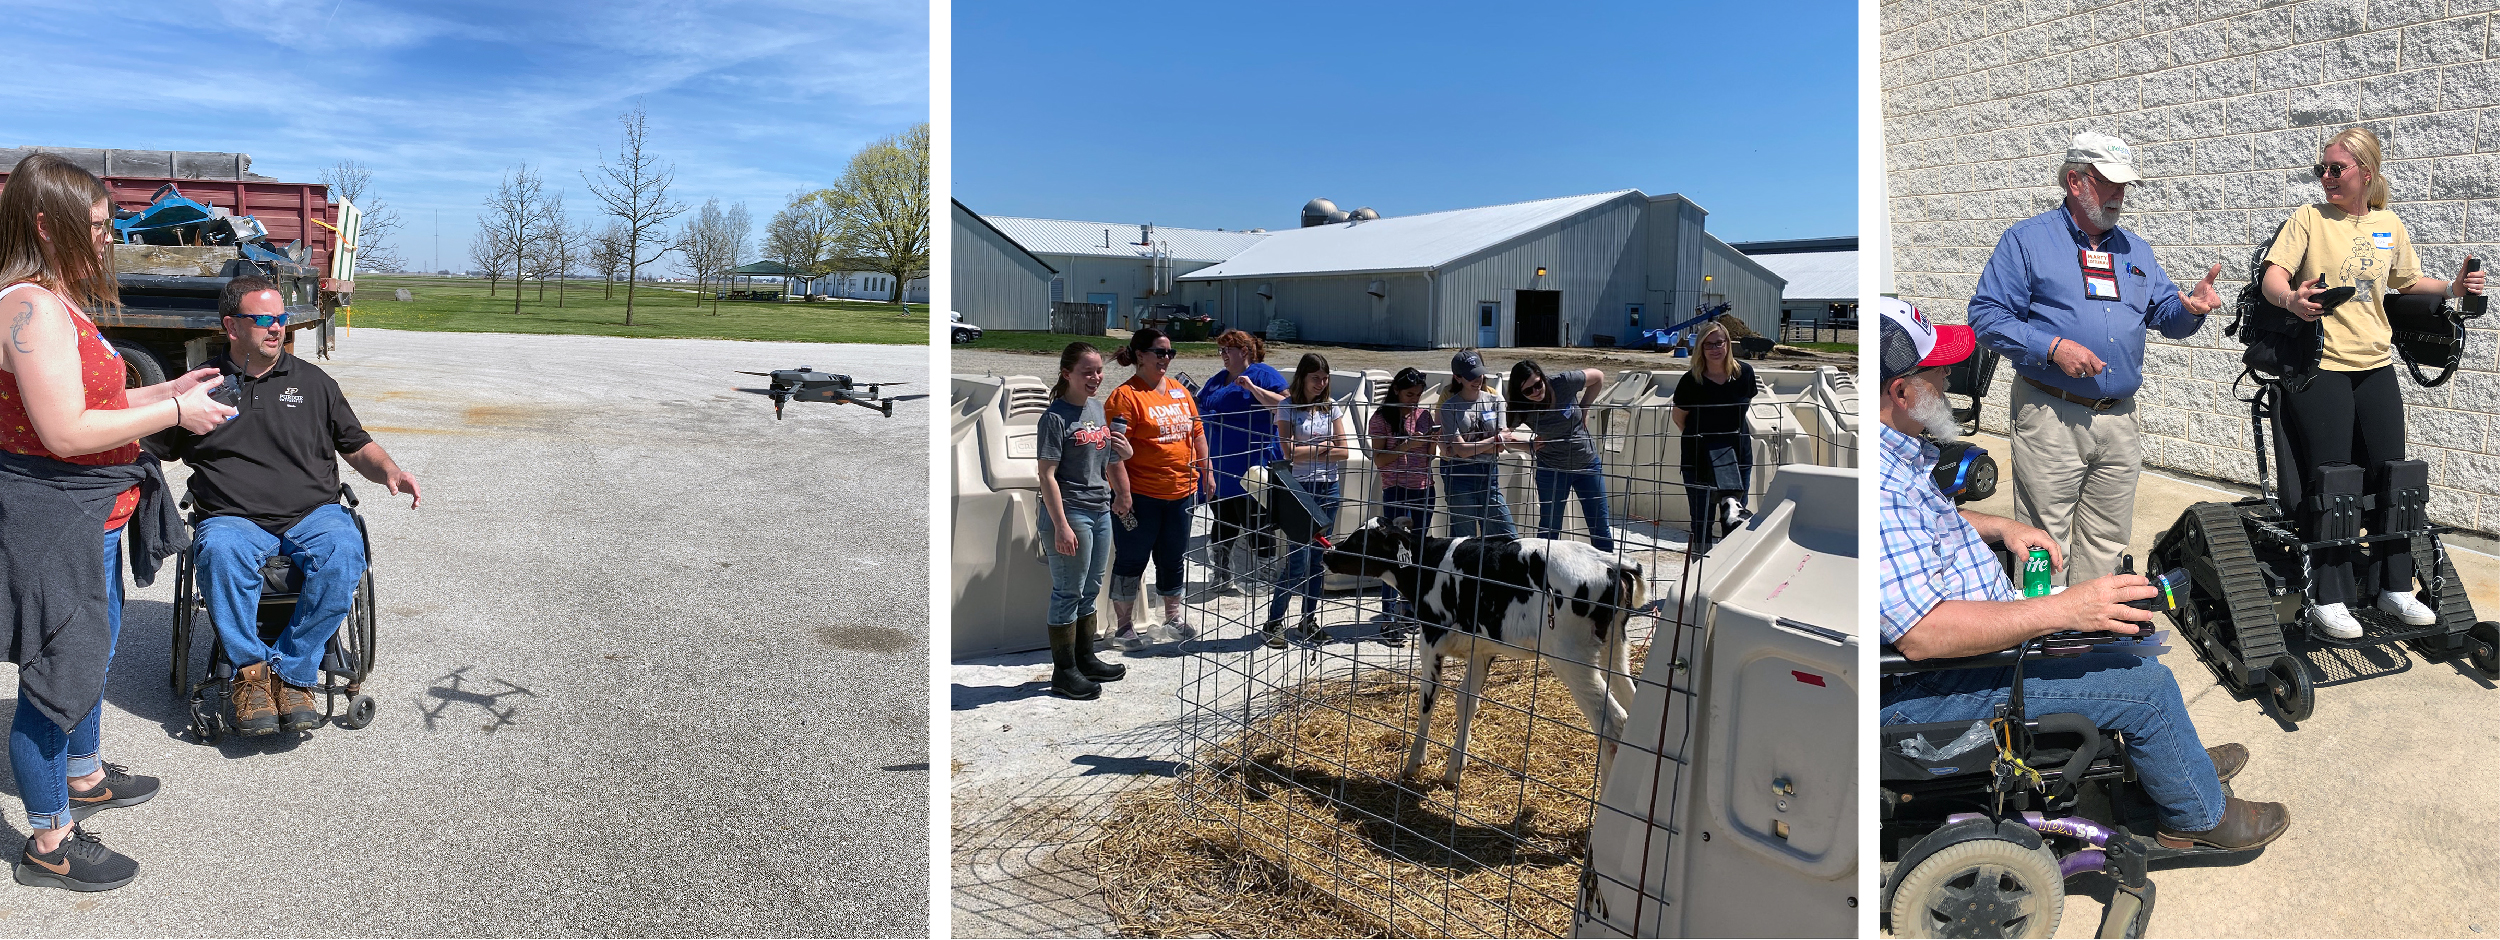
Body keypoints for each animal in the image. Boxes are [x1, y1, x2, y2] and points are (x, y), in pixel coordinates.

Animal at [1320, 517, 1650, 790]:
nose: (1327, 553)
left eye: (1361, 540)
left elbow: (1427, 701)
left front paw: (1414, 763)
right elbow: (1466, 702)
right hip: (1614, 649)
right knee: (1631, 704)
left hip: (1571, 658)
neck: (1428, 564)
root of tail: (1608, 561)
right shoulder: (1481, 649)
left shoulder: (1430, 638)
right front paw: (1454, 769)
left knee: (1611, 723)